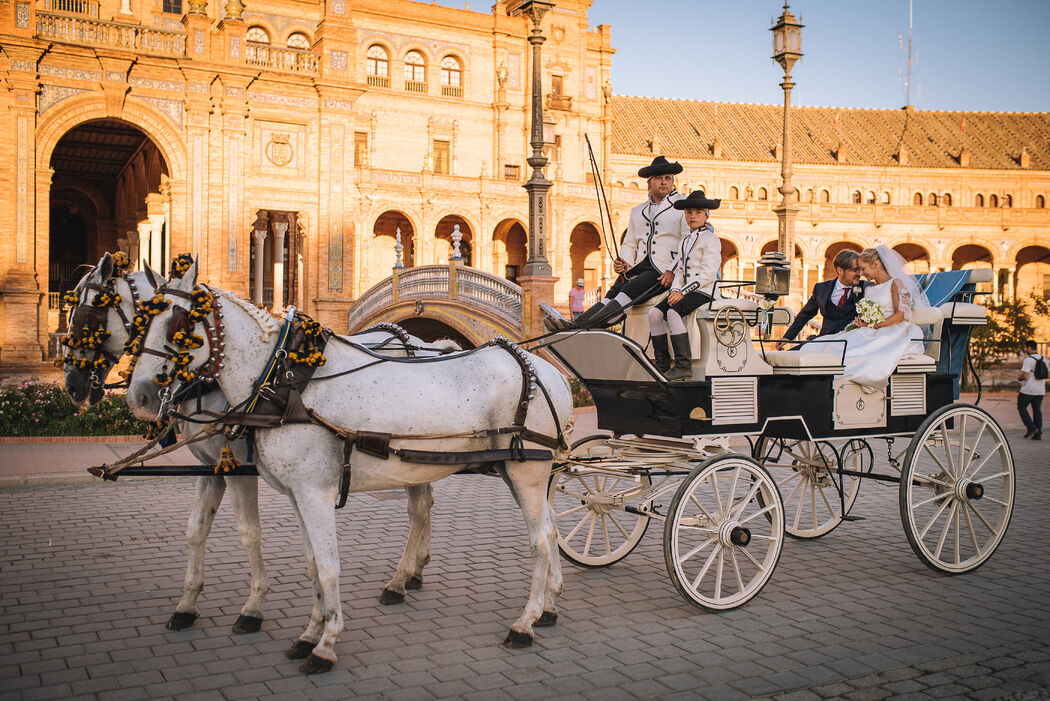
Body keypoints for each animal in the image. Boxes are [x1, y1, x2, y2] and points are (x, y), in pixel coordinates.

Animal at [62, 252, 455, 633]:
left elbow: (249, 531)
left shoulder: (239, 467)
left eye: (92, 311)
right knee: (423, 504)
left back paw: (400, 580)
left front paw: (253, 607)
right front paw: (187, 604)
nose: (72, 385)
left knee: (419, 508)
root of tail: (427, 344)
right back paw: (415, 571)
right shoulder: (209, 465)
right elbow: (196, 528)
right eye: (144, 321)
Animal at [130, 261, 575, 671]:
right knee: (549, 527)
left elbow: (328, 568)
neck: (287, 381)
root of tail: (547, 370)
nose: (140, 396)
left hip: (527, 471)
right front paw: (309, 633)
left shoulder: (314, 493)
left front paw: (326, 644)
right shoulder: (297, 494)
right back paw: (549, 605)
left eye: (178, 323)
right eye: (139, 321)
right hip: (516, 468)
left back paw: (524, 623)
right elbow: (313, 564)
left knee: (540, 539)